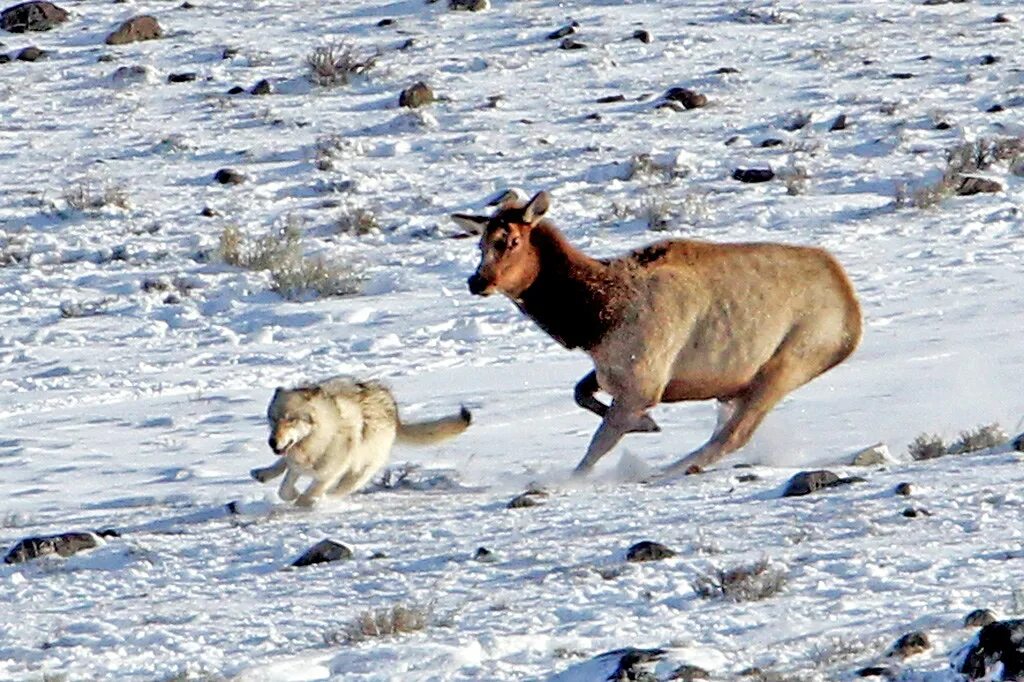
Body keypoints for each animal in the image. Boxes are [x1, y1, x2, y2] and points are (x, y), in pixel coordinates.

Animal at [452, 189, 860, 477]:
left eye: (510, 241)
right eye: (480, 243)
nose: (477, 281)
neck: (593, 321)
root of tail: (853, 320)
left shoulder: (644, 380)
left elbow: (596, 447)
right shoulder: (612, 370)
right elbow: (580, 393)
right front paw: (646, 424)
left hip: (787, 364)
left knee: (733, 435)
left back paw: (672, 468)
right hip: (743, 383)